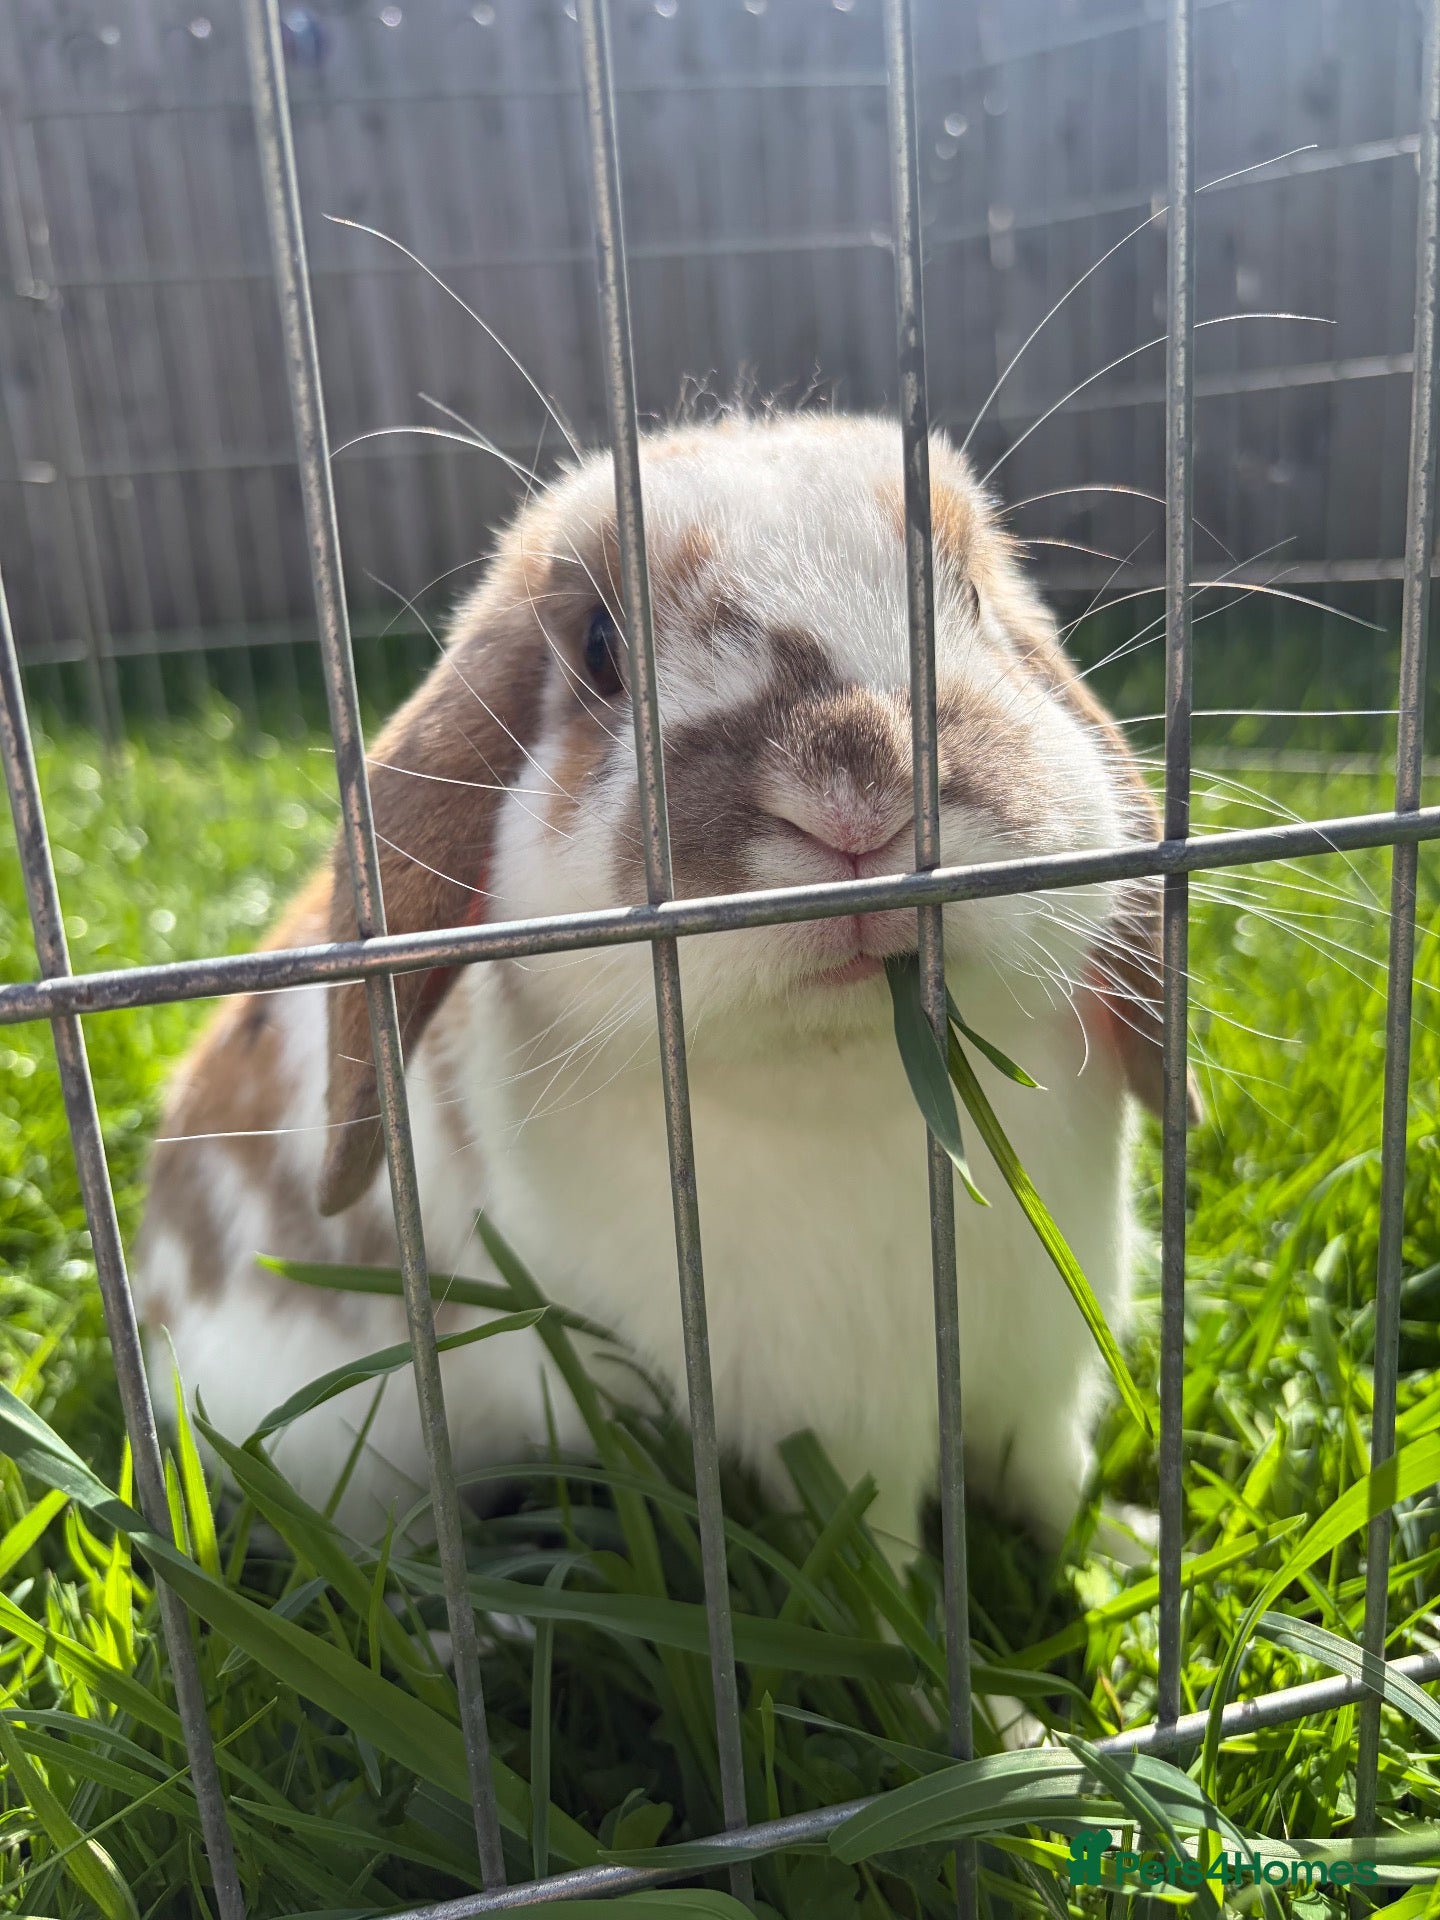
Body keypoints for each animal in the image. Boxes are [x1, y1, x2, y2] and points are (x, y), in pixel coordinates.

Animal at [135, 410, 1188, 1564]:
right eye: (600, 647)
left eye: (968, 597)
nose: (858, 795)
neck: (853, 1091)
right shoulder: (842, 1440)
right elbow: (881, 1560)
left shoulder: (1039, 1381)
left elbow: (1053, 1481)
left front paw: (1130, 1555)